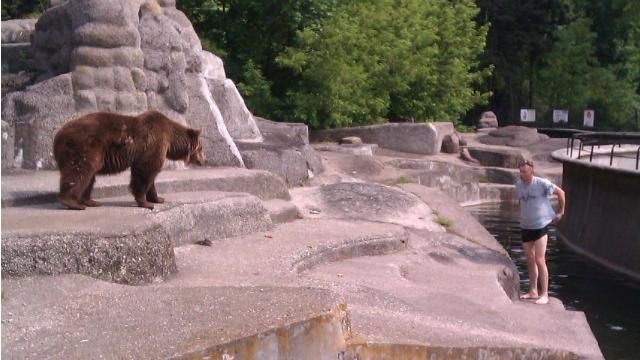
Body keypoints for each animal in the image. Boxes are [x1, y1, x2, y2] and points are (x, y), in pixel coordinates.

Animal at [54, 111, 208, 210]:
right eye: (201, 148)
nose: (205, 160)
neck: (171, 140)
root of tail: (57, 136)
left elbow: (150, 176)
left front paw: (158, 198)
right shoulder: (154, 143)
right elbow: (145, 171)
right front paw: (146, 203)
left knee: (88, 177)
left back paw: (90, 201)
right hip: (84, 146)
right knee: (79, 172)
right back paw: (73, 203)